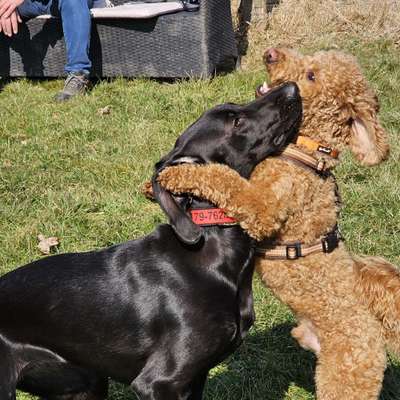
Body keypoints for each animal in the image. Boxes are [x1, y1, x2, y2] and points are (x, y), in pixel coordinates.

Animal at [0, 82, 302, 400]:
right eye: (236, 122)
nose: (292, 87)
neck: (211, 251)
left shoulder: (196, 378)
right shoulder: (159, 382)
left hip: (84, 382)